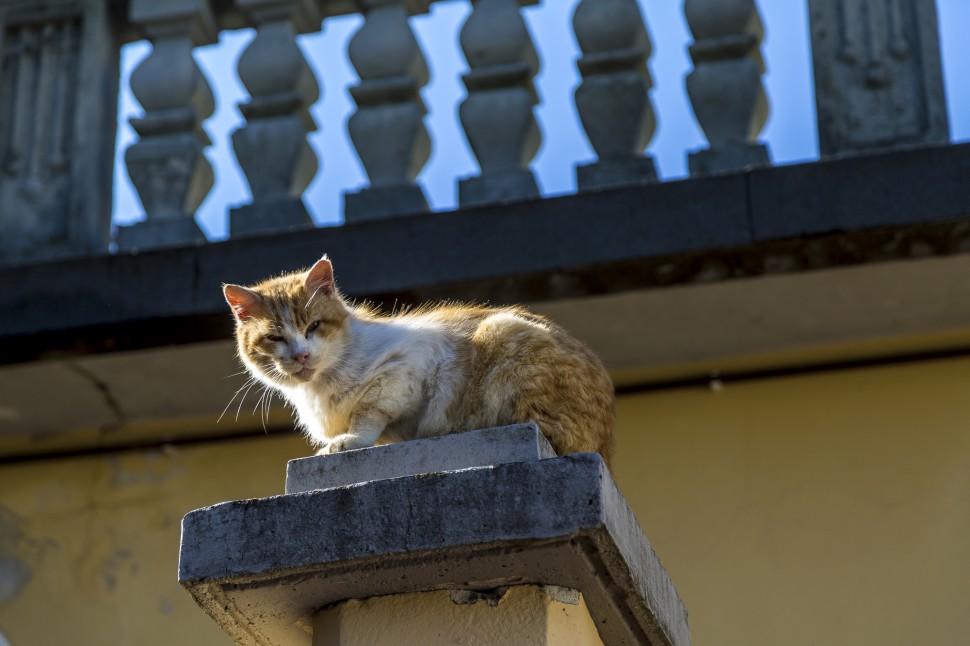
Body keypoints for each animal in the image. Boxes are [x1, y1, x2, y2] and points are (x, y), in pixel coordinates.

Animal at [223, 256, 612, 466]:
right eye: (274, 338)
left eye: (313, 326)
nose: (301, 354)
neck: (318, 389)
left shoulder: (407, 367)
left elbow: (368, 413)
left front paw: (349, 440)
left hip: (502, 330)